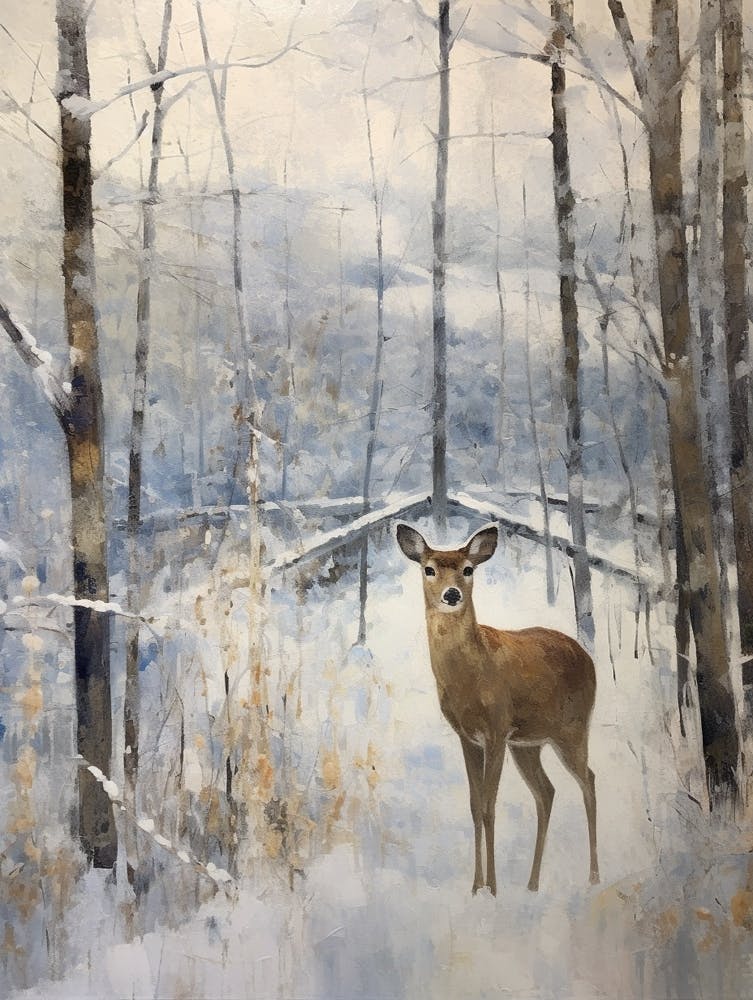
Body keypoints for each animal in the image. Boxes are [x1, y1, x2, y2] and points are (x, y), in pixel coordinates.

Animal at [396, 522, 599, 896]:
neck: (469, 676)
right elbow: (475, 806)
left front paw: (492, 889)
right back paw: (532, 884)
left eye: (468, 569)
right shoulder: (468, 737)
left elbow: (490, 806)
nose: (451, 595)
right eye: (428, 569)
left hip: (573, 727)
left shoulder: (496, 729)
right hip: (528, 744)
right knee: (547, 792)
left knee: (588, 780)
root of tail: (586, 656)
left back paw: (593, 876)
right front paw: (477, 887)